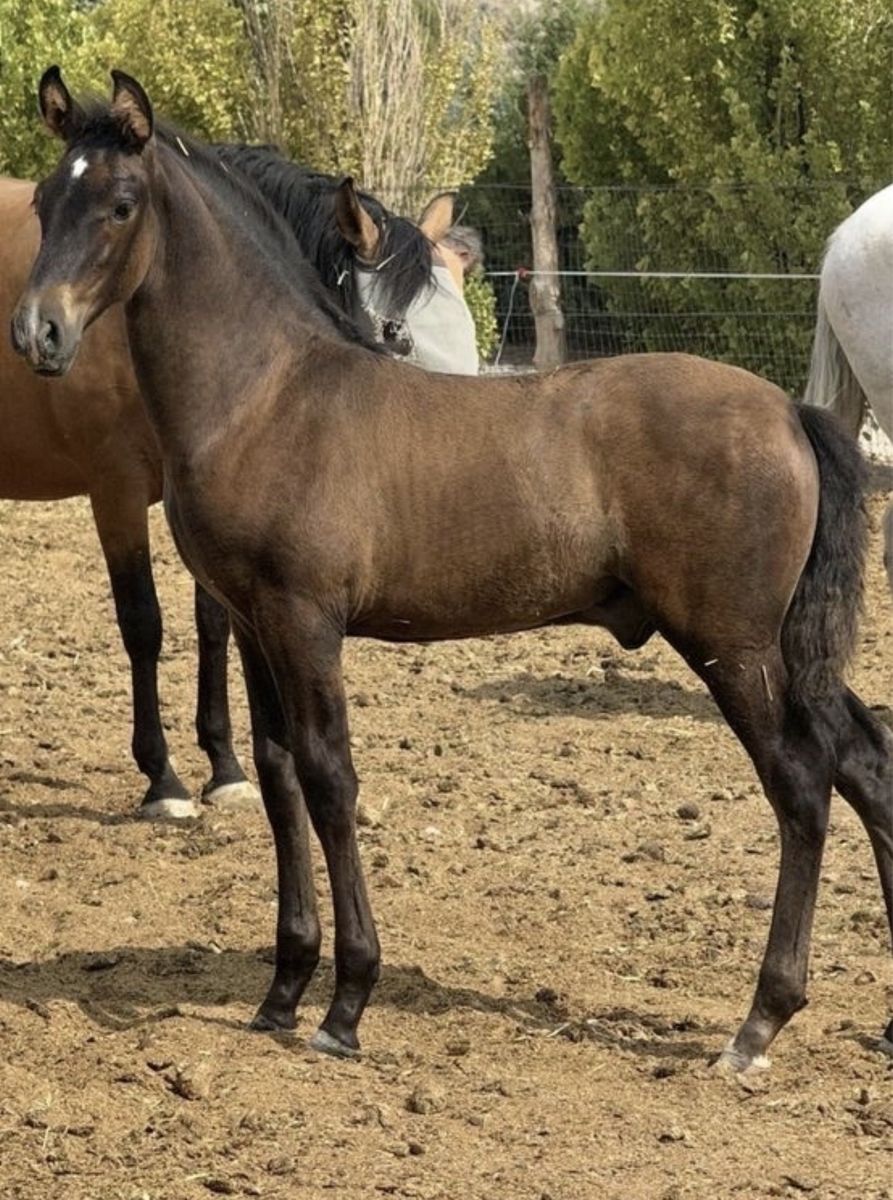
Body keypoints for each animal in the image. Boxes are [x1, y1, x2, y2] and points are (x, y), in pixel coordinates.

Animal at [0, 141, 478, 820]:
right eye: (396, 333)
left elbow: (214, 623)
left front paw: (223, 767)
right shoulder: (115, 490)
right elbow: (143, 623)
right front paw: (163, 779)